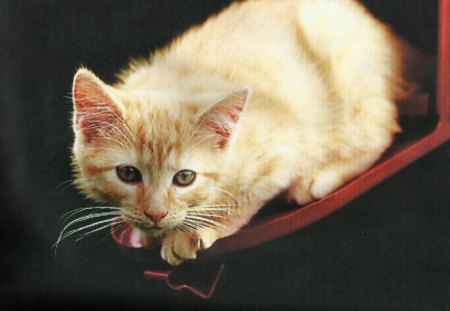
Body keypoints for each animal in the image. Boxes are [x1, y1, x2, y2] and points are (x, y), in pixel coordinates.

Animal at [71, 0, 418, 266]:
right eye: (128, 174)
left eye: (185, 178)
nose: (156, 213)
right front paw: (147, 230)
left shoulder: (285, 148)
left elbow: (243, 200)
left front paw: (192, 233)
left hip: (351, 86)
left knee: (381, 130)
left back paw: (319, 178)